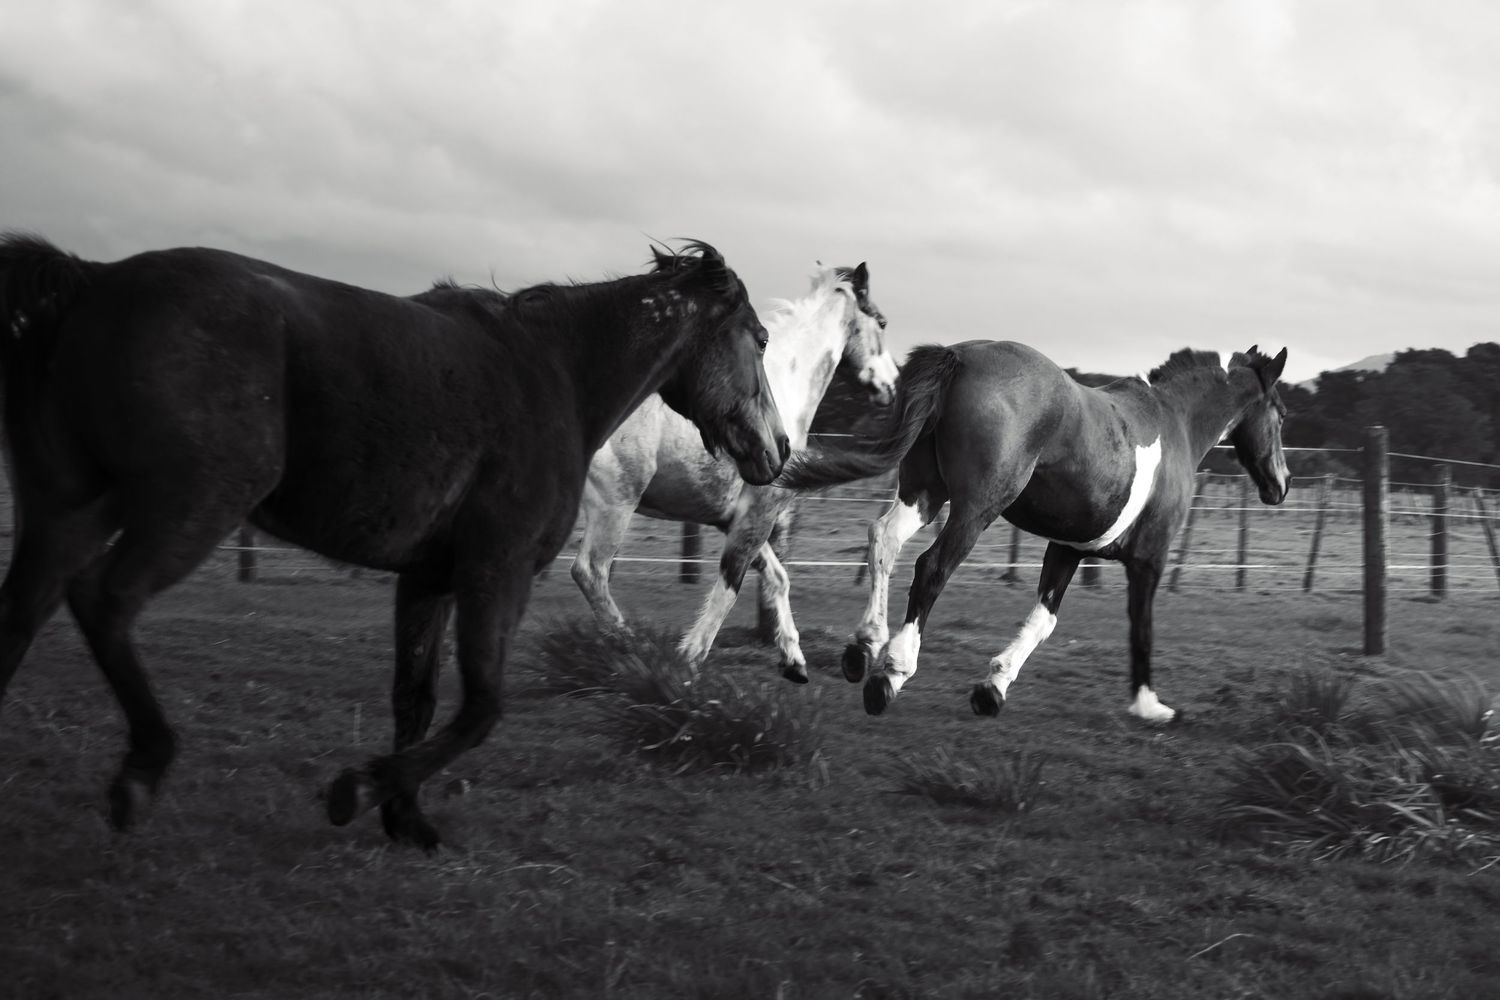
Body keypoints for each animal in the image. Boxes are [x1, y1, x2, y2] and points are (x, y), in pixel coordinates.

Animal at [0, 234, 788, 848]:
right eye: (760, 339)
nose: (778, 450)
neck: (553, 375)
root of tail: (92, 279)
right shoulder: (495, 570)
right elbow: (479, 708)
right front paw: (358, 791)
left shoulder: (428, 578)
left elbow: (416, 698)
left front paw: (404, 818)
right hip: (190, 506)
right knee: (103, 600)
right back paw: (142, 772)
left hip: (68, 512)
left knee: (22, 616)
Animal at [570, 263, 898, 681]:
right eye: (883, 322)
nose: (891, 386)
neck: (782, 389)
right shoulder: (759, 511)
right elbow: (730, 585)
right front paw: (688, 661)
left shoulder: (733, 518)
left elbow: (777, 578)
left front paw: (794, 662)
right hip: (615, 503)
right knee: (590, 572)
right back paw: (631, 650)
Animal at [778, 340, 1289, 721]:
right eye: (1280, 413)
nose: (1280, 485)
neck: (1173, 421)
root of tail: (959, 355)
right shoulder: (1149, 558)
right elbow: (1141, 627)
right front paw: (1149, 706)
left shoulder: (1066, 549)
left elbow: (1044, 620)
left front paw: (993, 688)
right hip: (976, 507)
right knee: (931, 567)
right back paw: (891, 673)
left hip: (925, 492)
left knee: (884, 540)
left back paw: (863, 648)